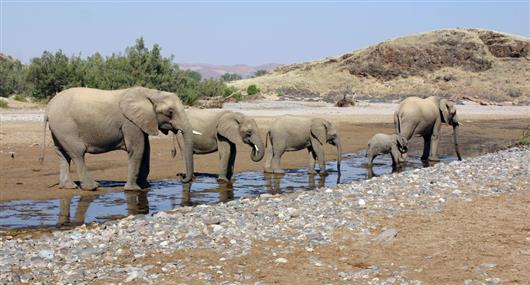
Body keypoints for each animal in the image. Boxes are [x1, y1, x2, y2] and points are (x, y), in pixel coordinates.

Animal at [41, 85, 194, 190]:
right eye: (170, 112)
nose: (181, 178)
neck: (149, 93)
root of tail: (48, 108)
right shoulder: (129, 122)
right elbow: (137, 149)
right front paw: (133, 189)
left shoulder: (141, 121)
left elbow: (146, 150)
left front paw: (145, 186)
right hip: (66, 127)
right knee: (77, 153)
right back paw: (93, 187)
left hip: (58, 129)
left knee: (62, 154)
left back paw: (68, 186)